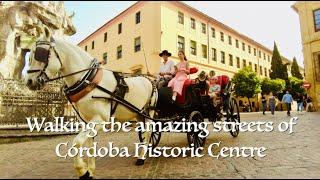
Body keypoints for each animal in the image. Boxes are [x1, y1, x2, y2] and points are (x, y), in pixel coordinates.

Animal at [25, 26, 158, 179]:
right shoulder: (86, 121)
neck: (89, 81)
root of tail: (149, 79)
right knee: (144, 132)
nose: (29, 81)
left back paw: (142, 157)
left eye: (39, 54)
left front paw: (82, 170)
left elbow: (76, 142)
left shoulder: (100, 120)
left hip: (150, 111)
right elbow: (89, 145)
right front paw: (90, 170)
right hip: (139, 114)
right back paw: (142, 152)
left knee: (149, 131)